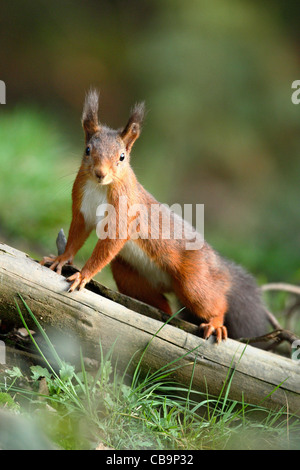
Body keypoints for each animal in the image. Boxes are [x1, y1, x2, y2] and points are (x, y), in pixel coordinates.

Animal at [41, 90, 268, 344]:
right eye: (88, 149)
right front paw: (61, 259)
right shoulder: (82, 210)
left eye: (122, 157)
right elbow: (76, 236)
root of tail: (218, 266)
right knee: (161, 306)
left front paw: (83, 275)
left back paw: (216, 322)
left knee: (215, 301)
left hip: (194, 281)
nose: (100, 173)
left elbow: (110, 243)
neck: (99, 187)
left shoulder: (124, 212)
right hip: (131, 277)